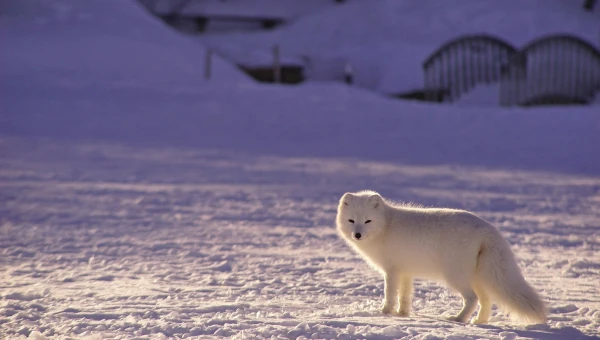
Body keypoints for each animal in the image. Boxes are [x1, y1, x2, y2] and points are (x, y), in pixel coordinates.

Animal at [336, 190, 548, 326]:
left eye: (368, 221)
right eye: (351, 221)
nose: (357, 235)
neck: (386, 225)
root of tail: (488, 228)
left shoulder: (392, 271)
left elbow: (390, 294)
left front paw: (384, 313)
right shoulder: (406, 272)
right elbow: (405, 295)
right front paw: (402, 314)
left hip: (455, 276)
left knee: (472, 298)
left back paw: (458, 319)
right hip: (477, 276)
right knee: (486, 299)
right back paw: (479, 321)